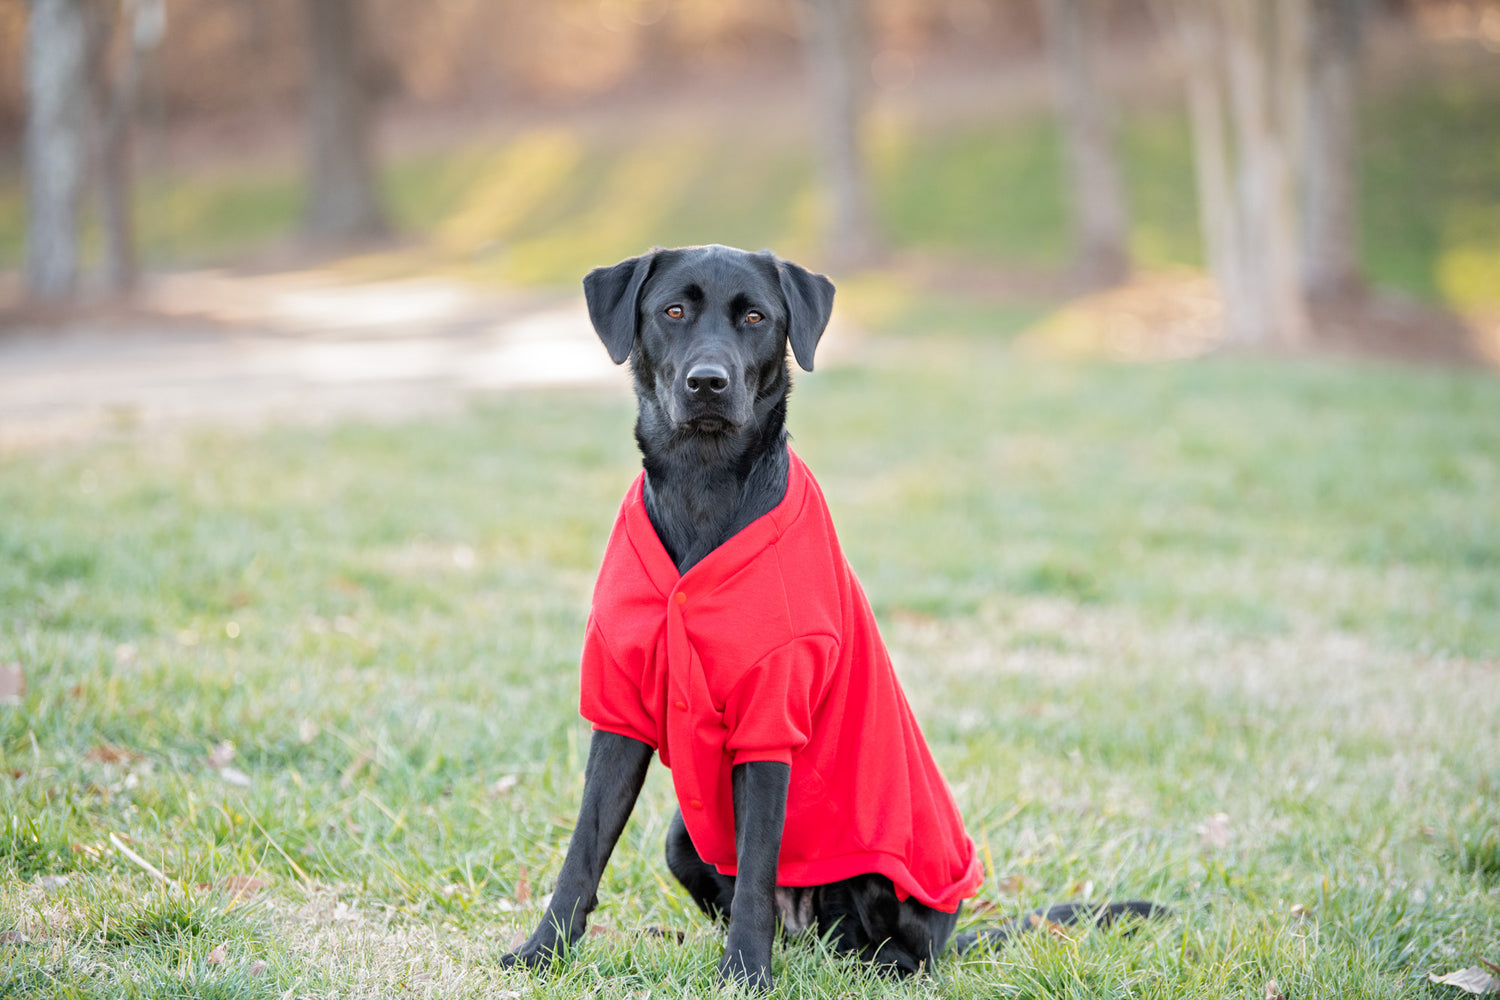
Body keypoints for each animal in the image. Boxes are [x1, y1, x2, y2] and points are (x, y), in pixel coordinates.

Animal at [501, 245, 1158, 989]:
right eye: (672, 310)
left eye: (755, 317)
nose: (708, 382)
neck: (704, 484)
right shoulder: (618, 712)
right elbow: (584, 851)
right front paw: (544, 952)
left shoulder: (771, 721)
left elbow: (757, 870)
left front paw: (744, 976)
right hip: (682, 835)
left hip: (887, 885)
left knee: (891, 954)